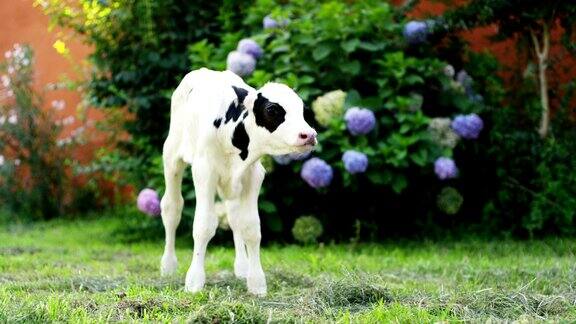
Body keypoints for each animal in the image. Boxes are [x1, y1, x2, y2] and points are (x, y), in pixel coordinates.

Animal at [160, 68, 318, 296]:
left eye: (302, 110)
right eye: (272, 109)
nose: (309, 135)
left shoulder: (253, 174)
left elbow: (250, 227)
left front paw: (256, 282)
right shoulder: (204, 171)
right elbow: (203, 225)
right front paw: (194, 281)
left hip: (232, 184)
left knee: (233, 217)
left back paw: (242, 268)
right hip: (172, 155)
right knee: (172, 208)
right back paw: (168, 265)